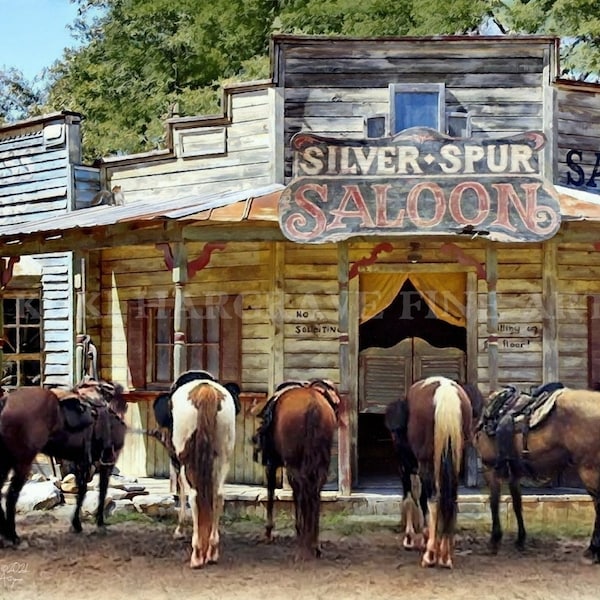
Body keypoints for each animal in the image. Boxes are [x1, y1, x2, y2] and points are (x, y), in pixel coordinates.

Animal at [0, 380, 126, 544]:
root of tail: (7, 400)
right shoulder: (108, 462)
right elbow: (102, 492)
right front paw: (99, 524)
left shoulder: (81, 461)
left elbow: (82, 491)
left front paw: (76, 524)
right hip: (23, 462)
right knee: (12, 495)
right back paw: (13, 536)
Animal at [170, 370, 238, 568]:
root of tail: (206, 390)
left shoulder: (179, 465)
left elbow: (181, 493)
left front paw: (180, 530)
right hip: (223, 458)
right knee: (218, 495)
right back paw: (212, 551)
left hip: (187, 463)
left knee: (194, 496)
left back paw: (197, 554)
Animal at [251, 378, 340, 560]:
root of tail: (313, 405)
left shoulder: (272, 464)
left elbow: (272, 493)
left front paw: (269, 532)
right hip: (321, 461)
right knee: (314, 491)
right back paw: (314, 543)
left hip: (294, 463)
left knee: (303, 491)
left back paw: (304, 544)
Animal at [390, 378, 474, 568]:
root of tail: (445, 391)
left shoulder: (405, 467)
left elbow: (410, 499)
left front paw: (410, 538)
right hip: (453, 461)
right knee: (450, 499)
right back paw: (445, 555)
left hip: (426, 464)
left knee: (433, 500)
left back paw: (430, 555)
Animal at [472, 384, 600, 564]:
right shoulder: (514, 474)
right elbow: (517, 504)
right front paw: (520, 540)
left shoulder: (490, 469)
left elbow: (494, 503)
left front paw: (494, 540)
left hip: (588, 470)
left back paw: (592, 549)